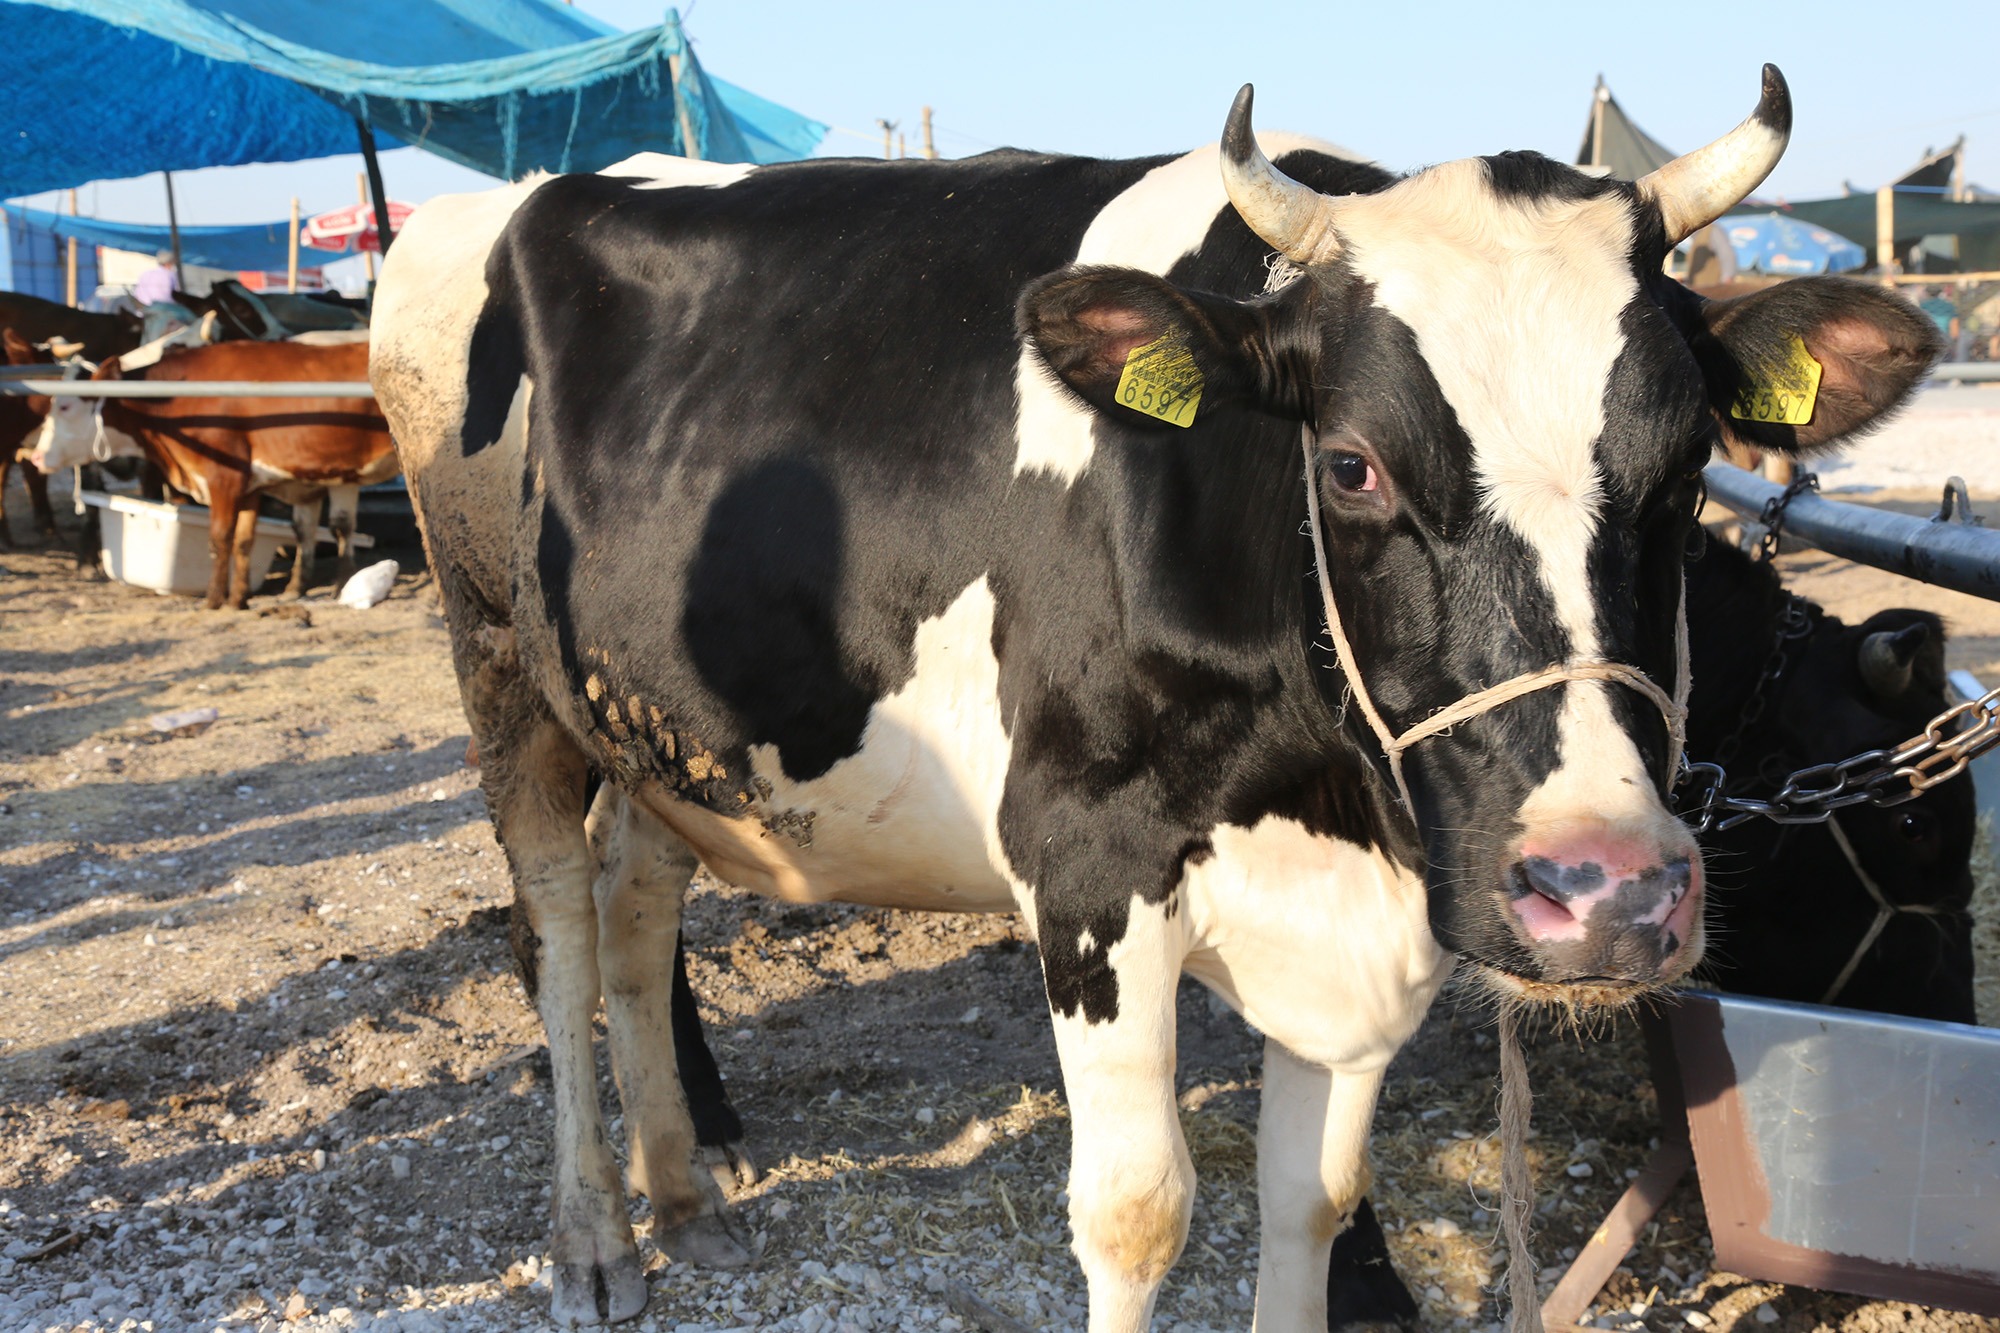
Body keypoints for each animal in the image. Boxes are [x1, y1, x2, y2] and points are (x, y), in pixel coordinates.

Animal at [31, 338, 396, 608]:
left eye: (65, 406)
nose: (36, 456)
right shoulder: (250, 485)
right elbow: (244, 542)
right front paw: (238, 600)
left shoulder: (224, 478)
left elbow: (220, 538)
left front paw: (213, 600)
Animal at [372, 65, 1936, 1328]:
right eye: (1352, 462)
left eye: (1685, 463)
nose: (1605, 889)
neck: (1323, 792)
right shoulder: (1088, 868)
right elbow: (1134, 1217)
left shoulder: (1374, 924)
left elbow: (1310, 1200)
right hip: (497, 657)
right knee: (556, 927)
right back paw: (594, 1241)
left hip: (662, 722)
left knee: (637, 913)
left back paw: (685, 1192)